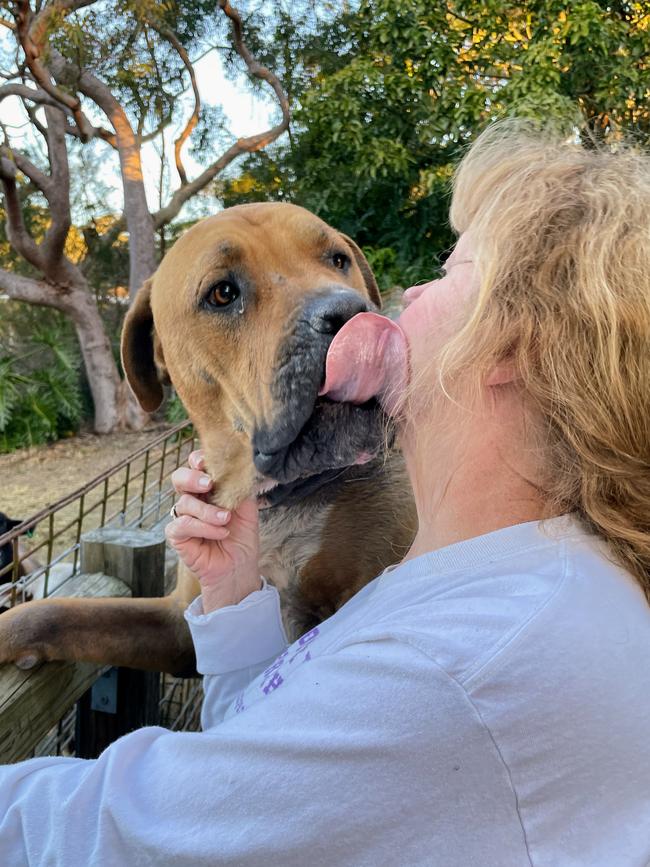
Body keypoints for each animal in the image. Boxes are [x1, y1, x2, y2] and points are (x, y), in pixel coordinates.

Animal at [0, 205, 416, 680]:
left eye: (338, 259)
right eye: (222, 293)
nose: (351, 313)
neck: (279, 496)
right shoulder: (181, 625)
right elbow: (56, 614)